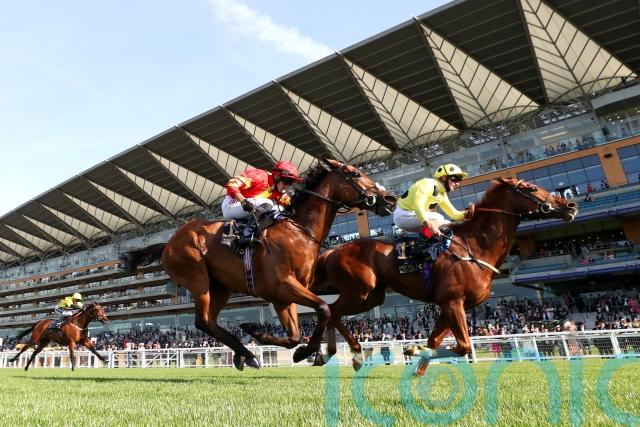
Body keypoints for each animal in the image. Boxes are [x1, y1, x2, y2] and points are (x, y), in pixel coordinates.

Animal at [120, 159, 396, 371]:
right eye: (355, 174)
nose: (389, 199)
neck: (299, 231)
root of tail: (168, 242)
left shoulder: (282, 296)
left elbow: (294, 335)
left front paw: (284, 343)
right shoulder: (284, 285)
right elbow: (323, 308)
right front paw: (306, 351)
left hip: (221, 286)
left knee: (208, 321)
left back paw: (245, 354)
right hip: (197, 277)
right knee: (203, 321)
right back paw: (248, 353)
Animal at [311, 177, 578, 372]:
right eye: (531, 187)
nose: (570, 206)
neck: (474, 246)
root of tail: (333, 250)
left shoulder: (447, 305)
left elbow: (434, 341)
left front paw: (416, 367)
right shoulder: (452, 301)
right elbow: (463, 346)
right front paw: (412, 350)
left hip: (372, 296)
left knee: (332, 312)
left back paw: (326, 356)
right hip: (360, 292)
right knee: (333, 311)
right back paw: (352, 355)